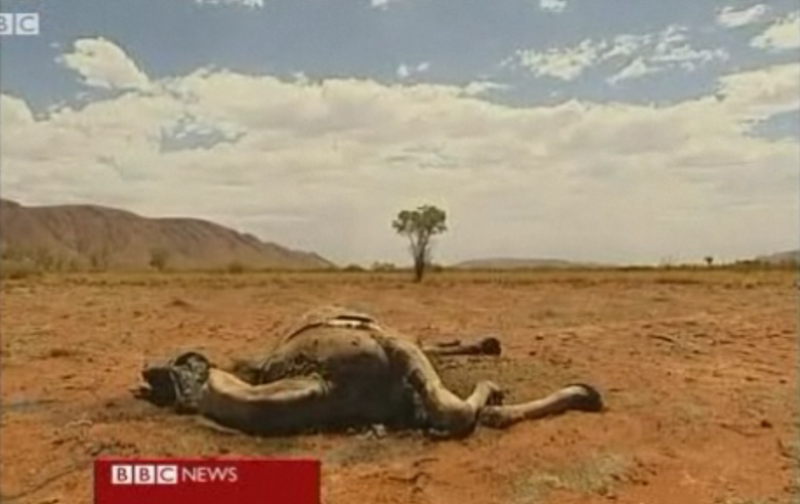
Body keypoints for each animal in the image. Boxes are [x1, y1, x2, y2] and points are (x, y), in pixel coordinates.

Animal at [135, 306, 604, 438]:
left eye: (175, 368)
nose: (148, 373)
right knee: (451, 404)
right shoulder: (396, 348)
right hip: (398, 346)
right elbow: (454, 410)